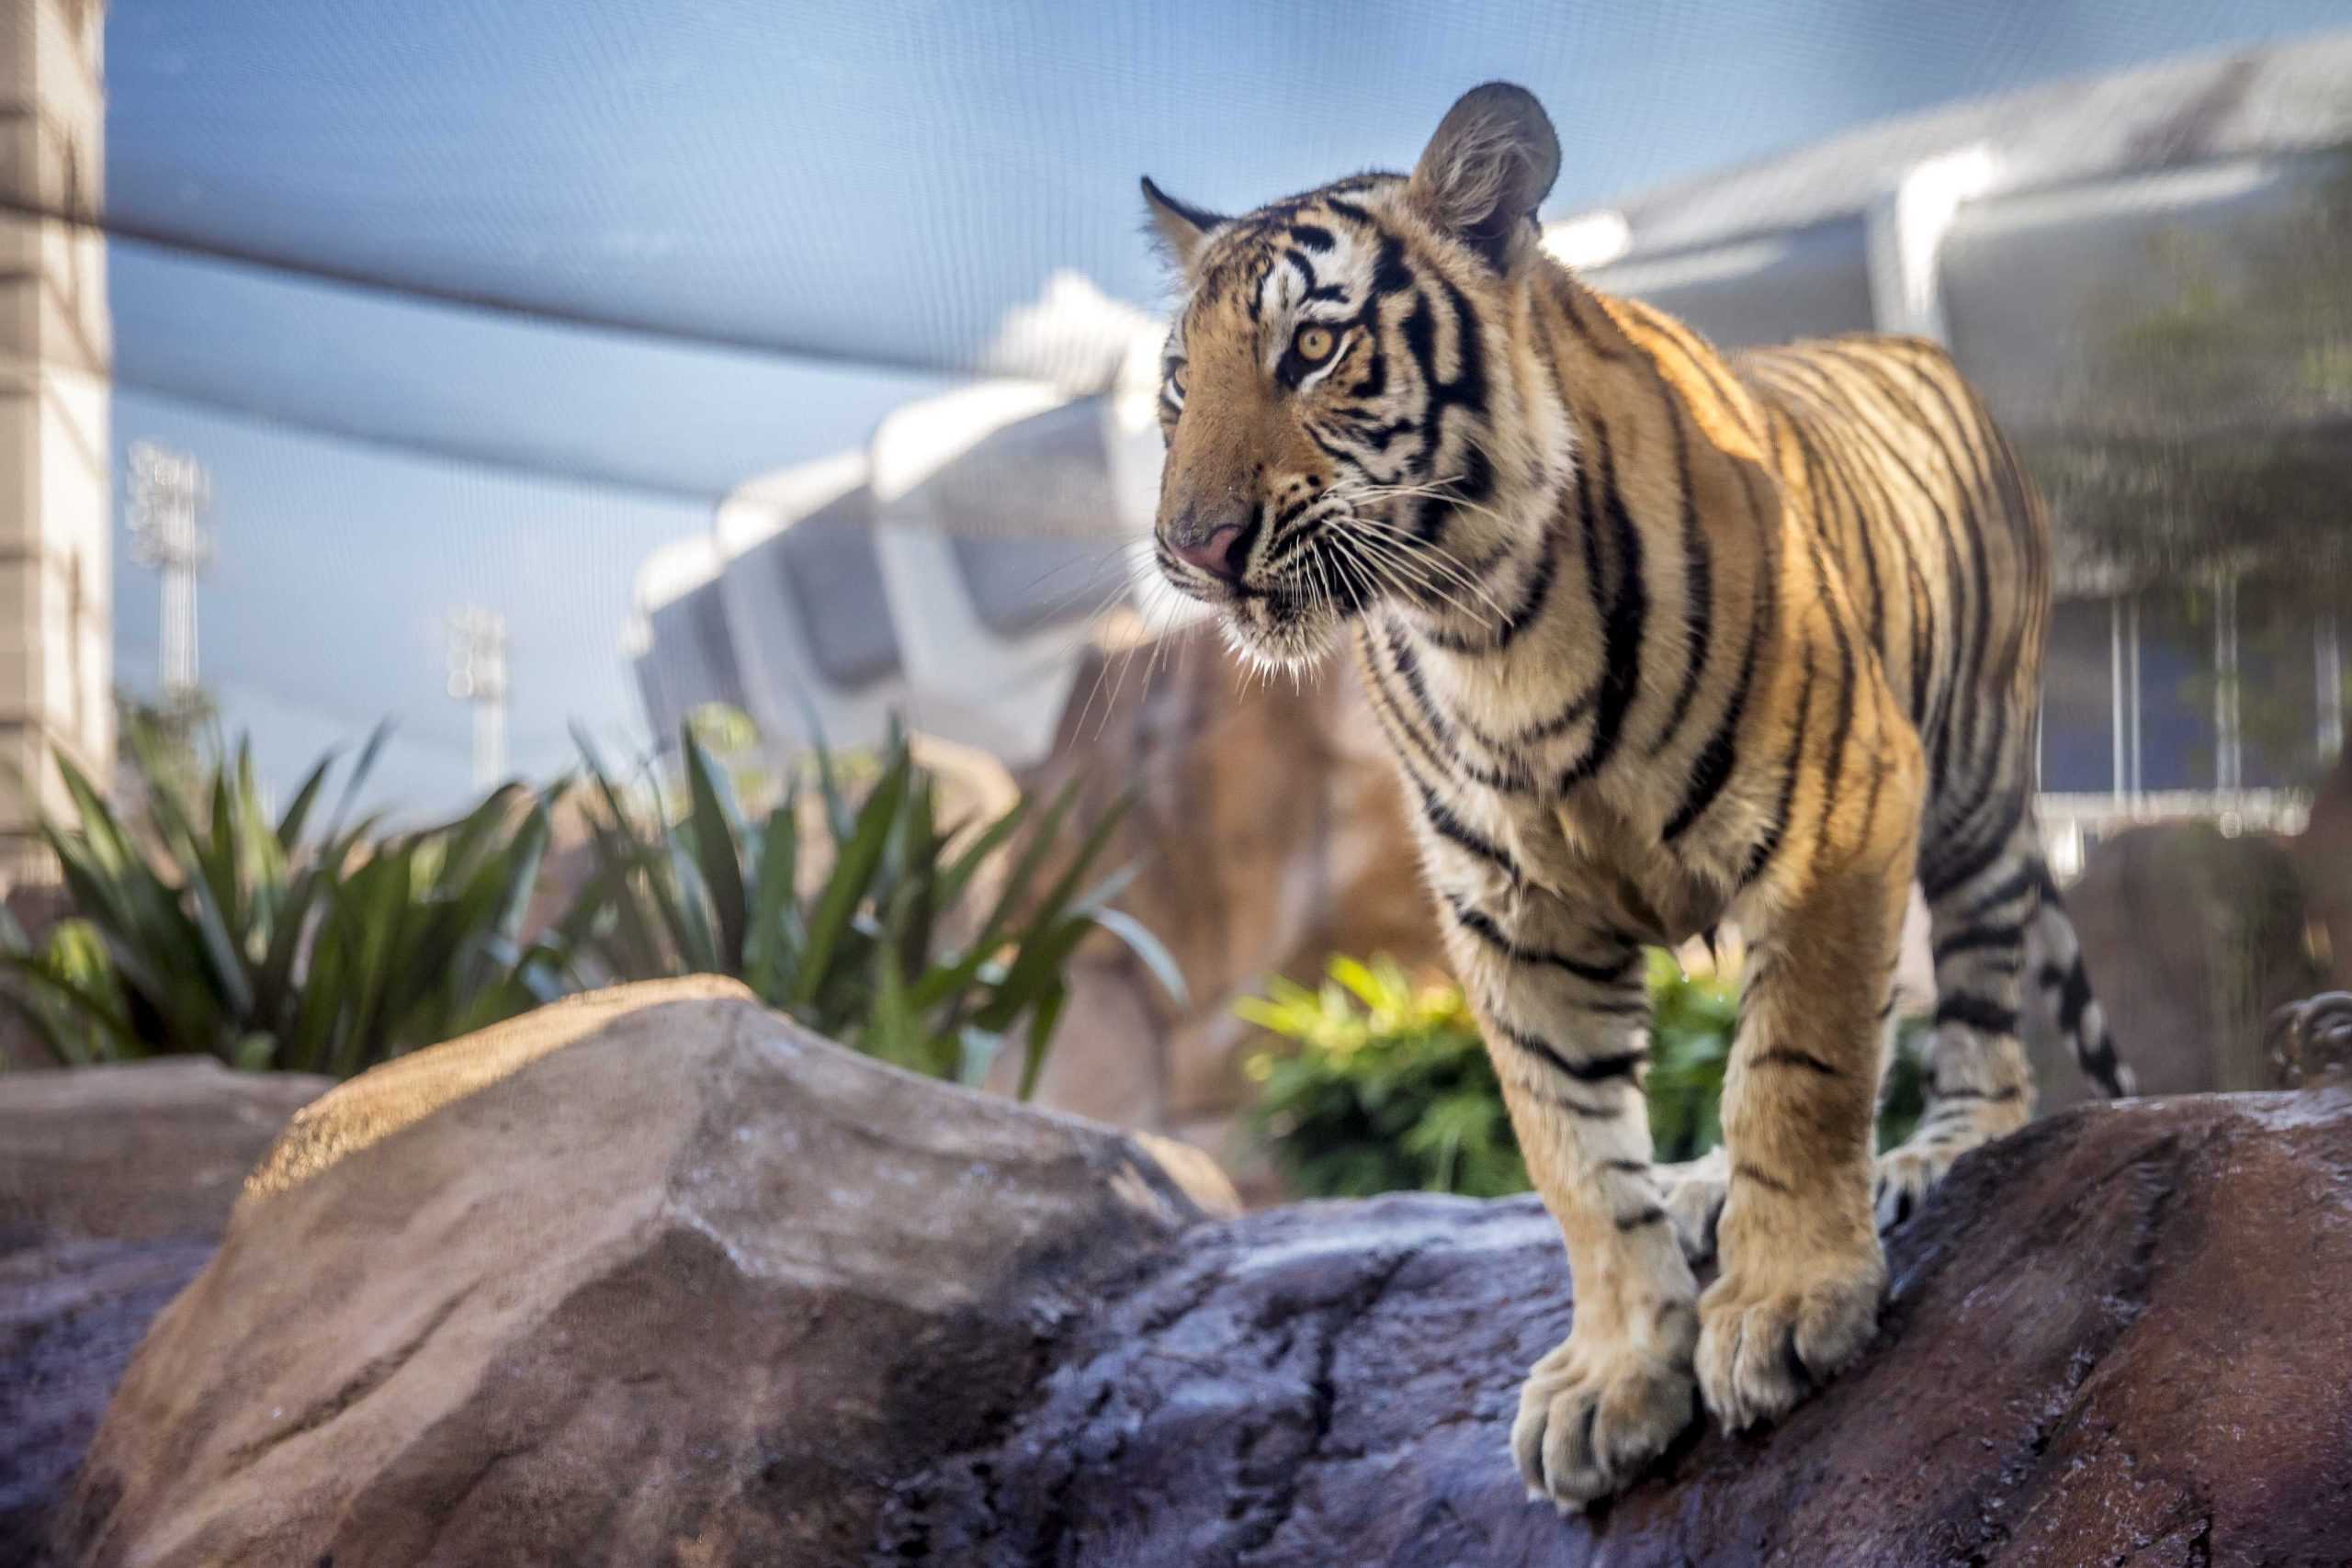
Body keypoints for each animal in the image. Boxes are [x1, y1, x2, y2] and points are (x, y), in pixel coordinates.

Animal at [1138, 85, 2135, 1504]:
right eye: (1179, 384)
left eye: (1315, 346)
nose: (1192, 548)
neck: (1484, 630)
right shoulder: (1509, 916)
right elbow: (1571, 1151)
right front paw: (1614, 1375)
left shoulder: (1839, 813)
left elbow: (1796, 1067)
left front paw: (1786, 1304)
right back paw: (1708, 1185)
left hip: (1976, 786)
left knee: (1985, 1023)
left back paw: (1931, 1150)